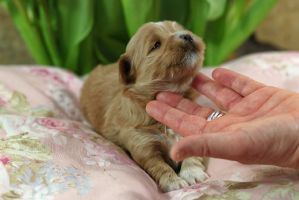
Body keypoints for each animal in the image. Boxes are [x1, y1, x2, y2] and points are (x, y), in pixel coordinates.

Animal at [81, 21, 207, 191]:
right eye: (156, 45)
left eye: (179, 29)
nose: (187, 35)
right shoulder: (143, 145)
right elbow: (159, 165)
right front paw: (173, 182)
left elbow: (192, 153)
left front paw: (192, 173)